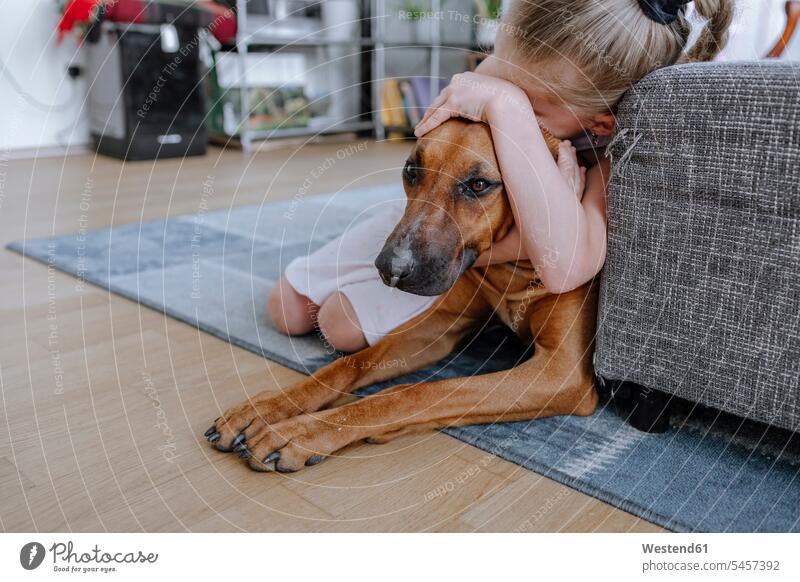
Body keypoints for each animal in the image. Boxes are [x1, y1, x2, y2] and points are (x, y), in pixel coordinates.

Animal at [203, 120, 596, 474]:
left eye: (479, 184)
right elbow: (348, 364)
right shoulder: (437, 327)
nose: (390, 267)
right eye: (411, 170)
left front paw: (301, 433)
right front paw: (265, 408)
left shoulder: (559, 373)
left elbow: (414, 392)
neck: (514, 271)